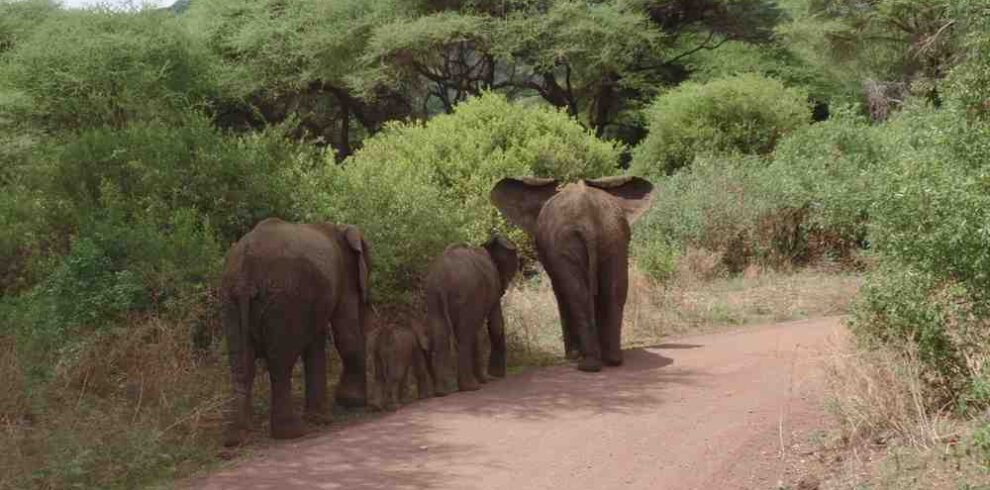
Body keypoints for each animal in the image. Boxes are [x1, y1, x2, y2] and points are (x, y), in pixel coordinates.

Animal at [219, 217, 371, 446]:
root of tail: (247, 264)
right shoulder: (344, 274)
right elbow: (346, 333)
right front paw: (351, 402)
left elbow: (316, 344)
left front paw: (320, 418)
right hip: (283, 298)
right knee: (280, 363)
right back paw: (292, 433)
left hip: (231, 300)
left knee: (241, 365)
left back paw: (236, 437)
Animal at [425, 235, 519, 393]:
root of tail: (442, 279)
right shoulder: (492, 284)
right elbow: (496, 324)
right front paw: (493, 377)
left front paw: (486, 378)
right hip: (467, 293)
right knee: (465, 334)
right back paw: (471, 387)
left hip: (433, 296)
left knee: (441, 334)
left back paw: (442, 392)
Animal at [490, 176, 654, 372]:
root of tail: (588, 217)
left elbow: (561, 291)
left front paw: (572, 356)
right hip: (614, 236)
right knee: (614, 290)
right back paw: (612, 359)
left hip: (566, 241)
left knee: (575, 293)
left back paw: (588, 364)